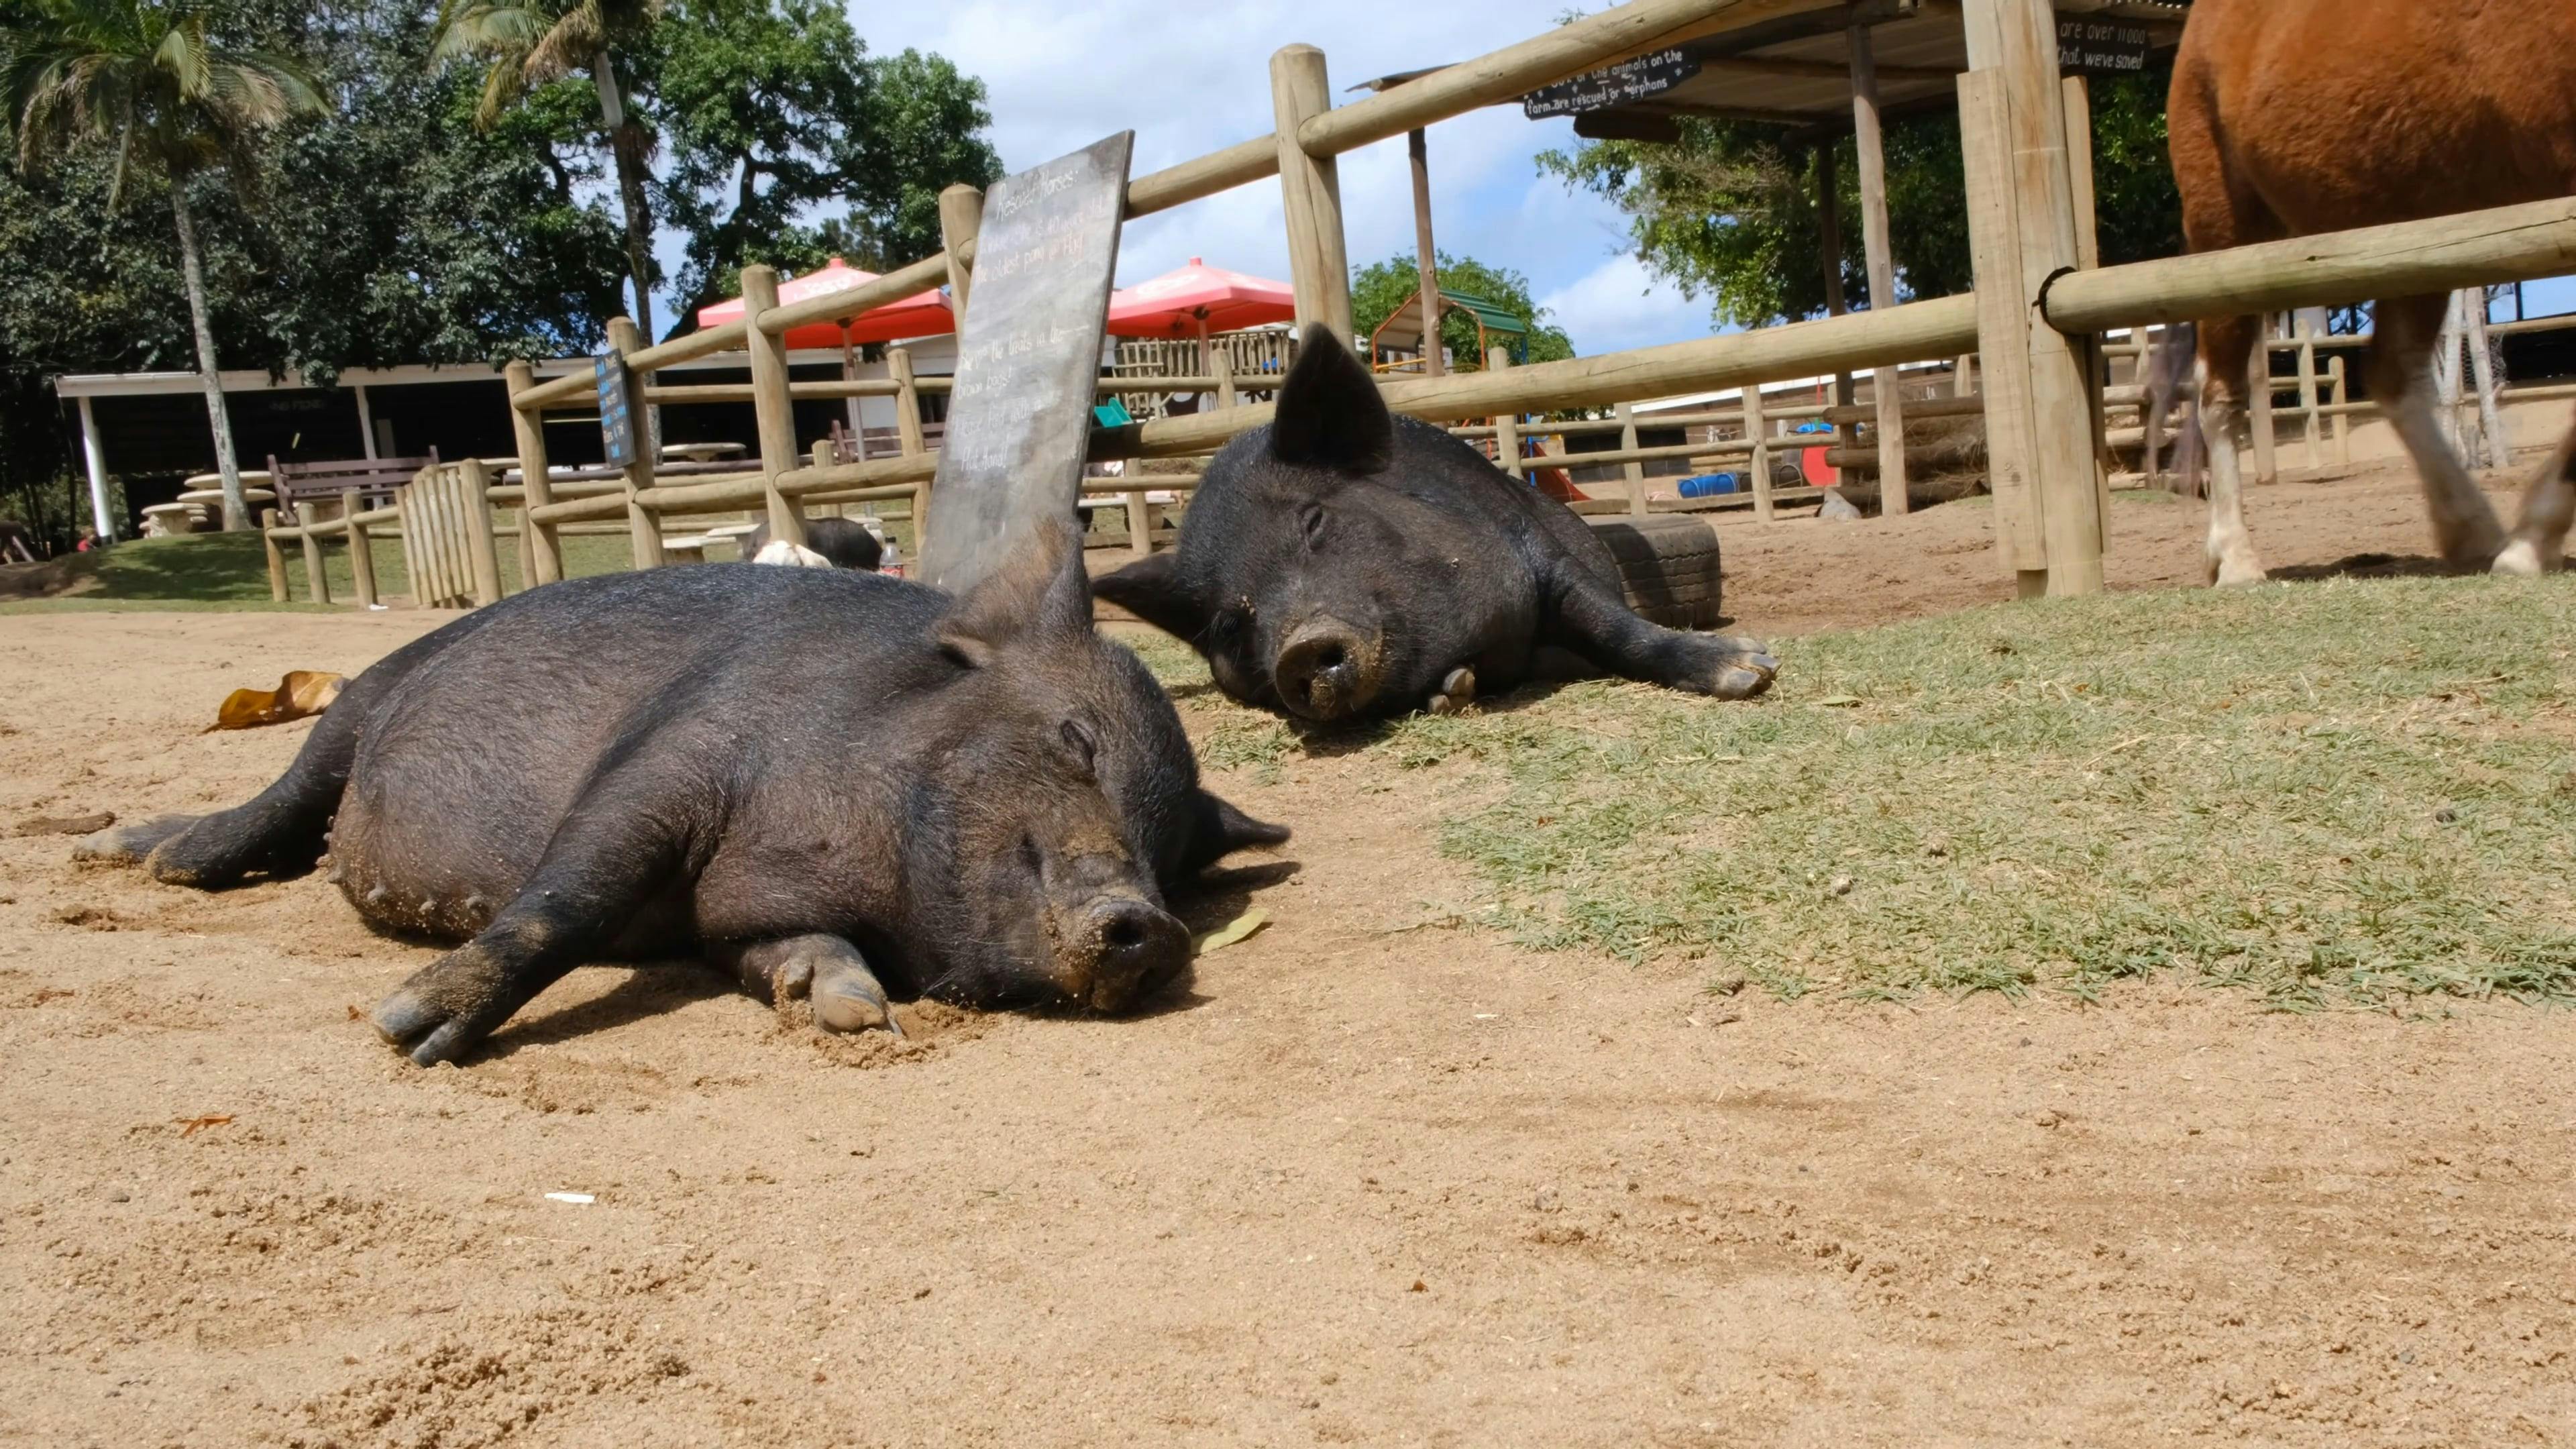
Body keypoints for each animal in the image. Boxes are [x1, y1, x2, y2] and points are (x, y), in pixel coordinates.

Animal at [75, 528, 1283, 1062]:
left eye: (1175, 855)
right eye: (1076, 742)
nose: (1149, 926)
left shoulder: (737, 917)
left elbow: (780, 953)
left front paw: (849, 1011)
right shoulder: (672, 758)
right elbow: (570, 894)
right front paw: (407, 1029)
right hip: (363, 696)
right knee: (288, 795)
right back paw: (140, 853)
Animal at [1097, 321, 1782, 716]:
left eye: (1313, 520)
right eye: (1230, 622)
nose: (1298, 649)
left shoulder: (1537, 553)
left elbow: (1613, 626)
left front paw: (1750, 670)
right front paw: (1454, 691)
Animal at [2174, 7, 2576, 580]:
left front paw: (2529, 540)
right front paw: (2533, 543)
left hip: (2419, 237)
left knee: (2392, 374)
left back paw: (2471, 528)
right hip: (2225, 227)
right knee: (2218, 392)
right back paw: (2234, 556)